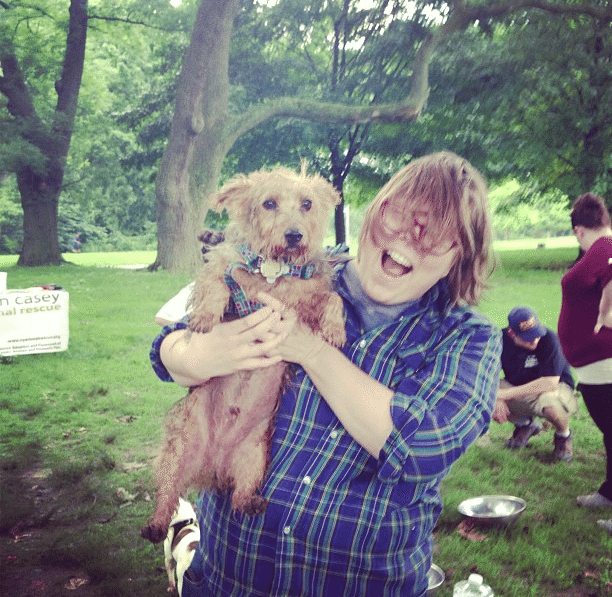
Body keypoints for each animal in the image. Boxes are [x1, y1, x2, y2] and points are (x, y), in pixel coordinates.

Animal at [140, 165, 346, 544]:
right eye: (269, 203)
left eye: (307, 204)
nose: (294, 235)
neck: (274, 272)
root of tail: (215, 465)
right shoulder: (226, 272)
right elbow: (217, 284)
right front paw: (204, 317)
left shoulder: (307, 297)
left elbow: (333, 298)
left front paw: (336, 329)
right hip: (178, 450)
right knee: (168, 493)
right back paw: (156, 523)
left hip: (254, 456)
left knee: (239, 497)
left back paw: (251, 502)